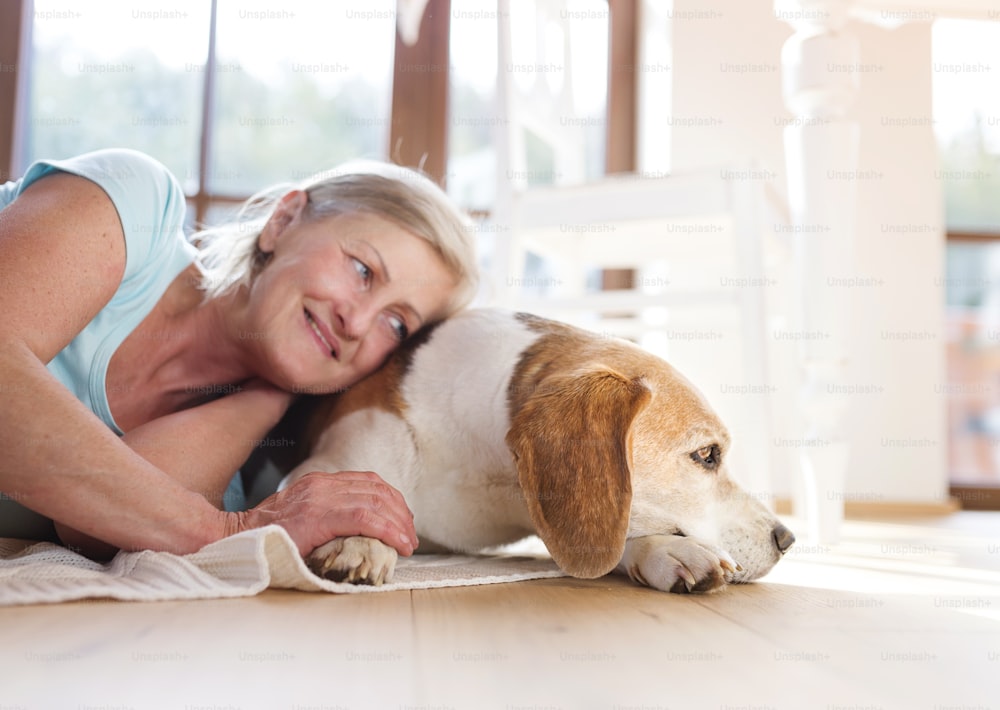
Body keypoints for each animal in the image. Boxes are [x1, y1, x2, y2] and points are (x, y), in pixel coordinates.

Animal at [282, 308, 796, 592]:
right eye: (707, 455)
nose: (787, 539)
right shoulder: (322, 465)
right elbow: (344, 490)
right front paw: (359, 537)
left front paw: (669, 551)